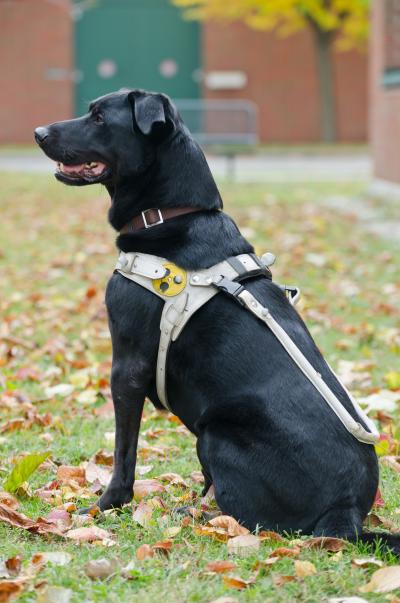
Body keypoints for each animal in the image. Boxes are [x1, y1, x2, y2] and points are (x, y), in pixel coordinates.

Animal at [34, 89, 390, 548]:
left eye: (98, 117)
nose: (38, 132)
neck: (172, 214)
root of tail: (347, 514)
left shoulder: (126, 367)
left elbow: (123, 451)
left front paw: (104, 506)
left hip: (217, 432)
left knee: (253, 520)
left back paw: (200, 515)